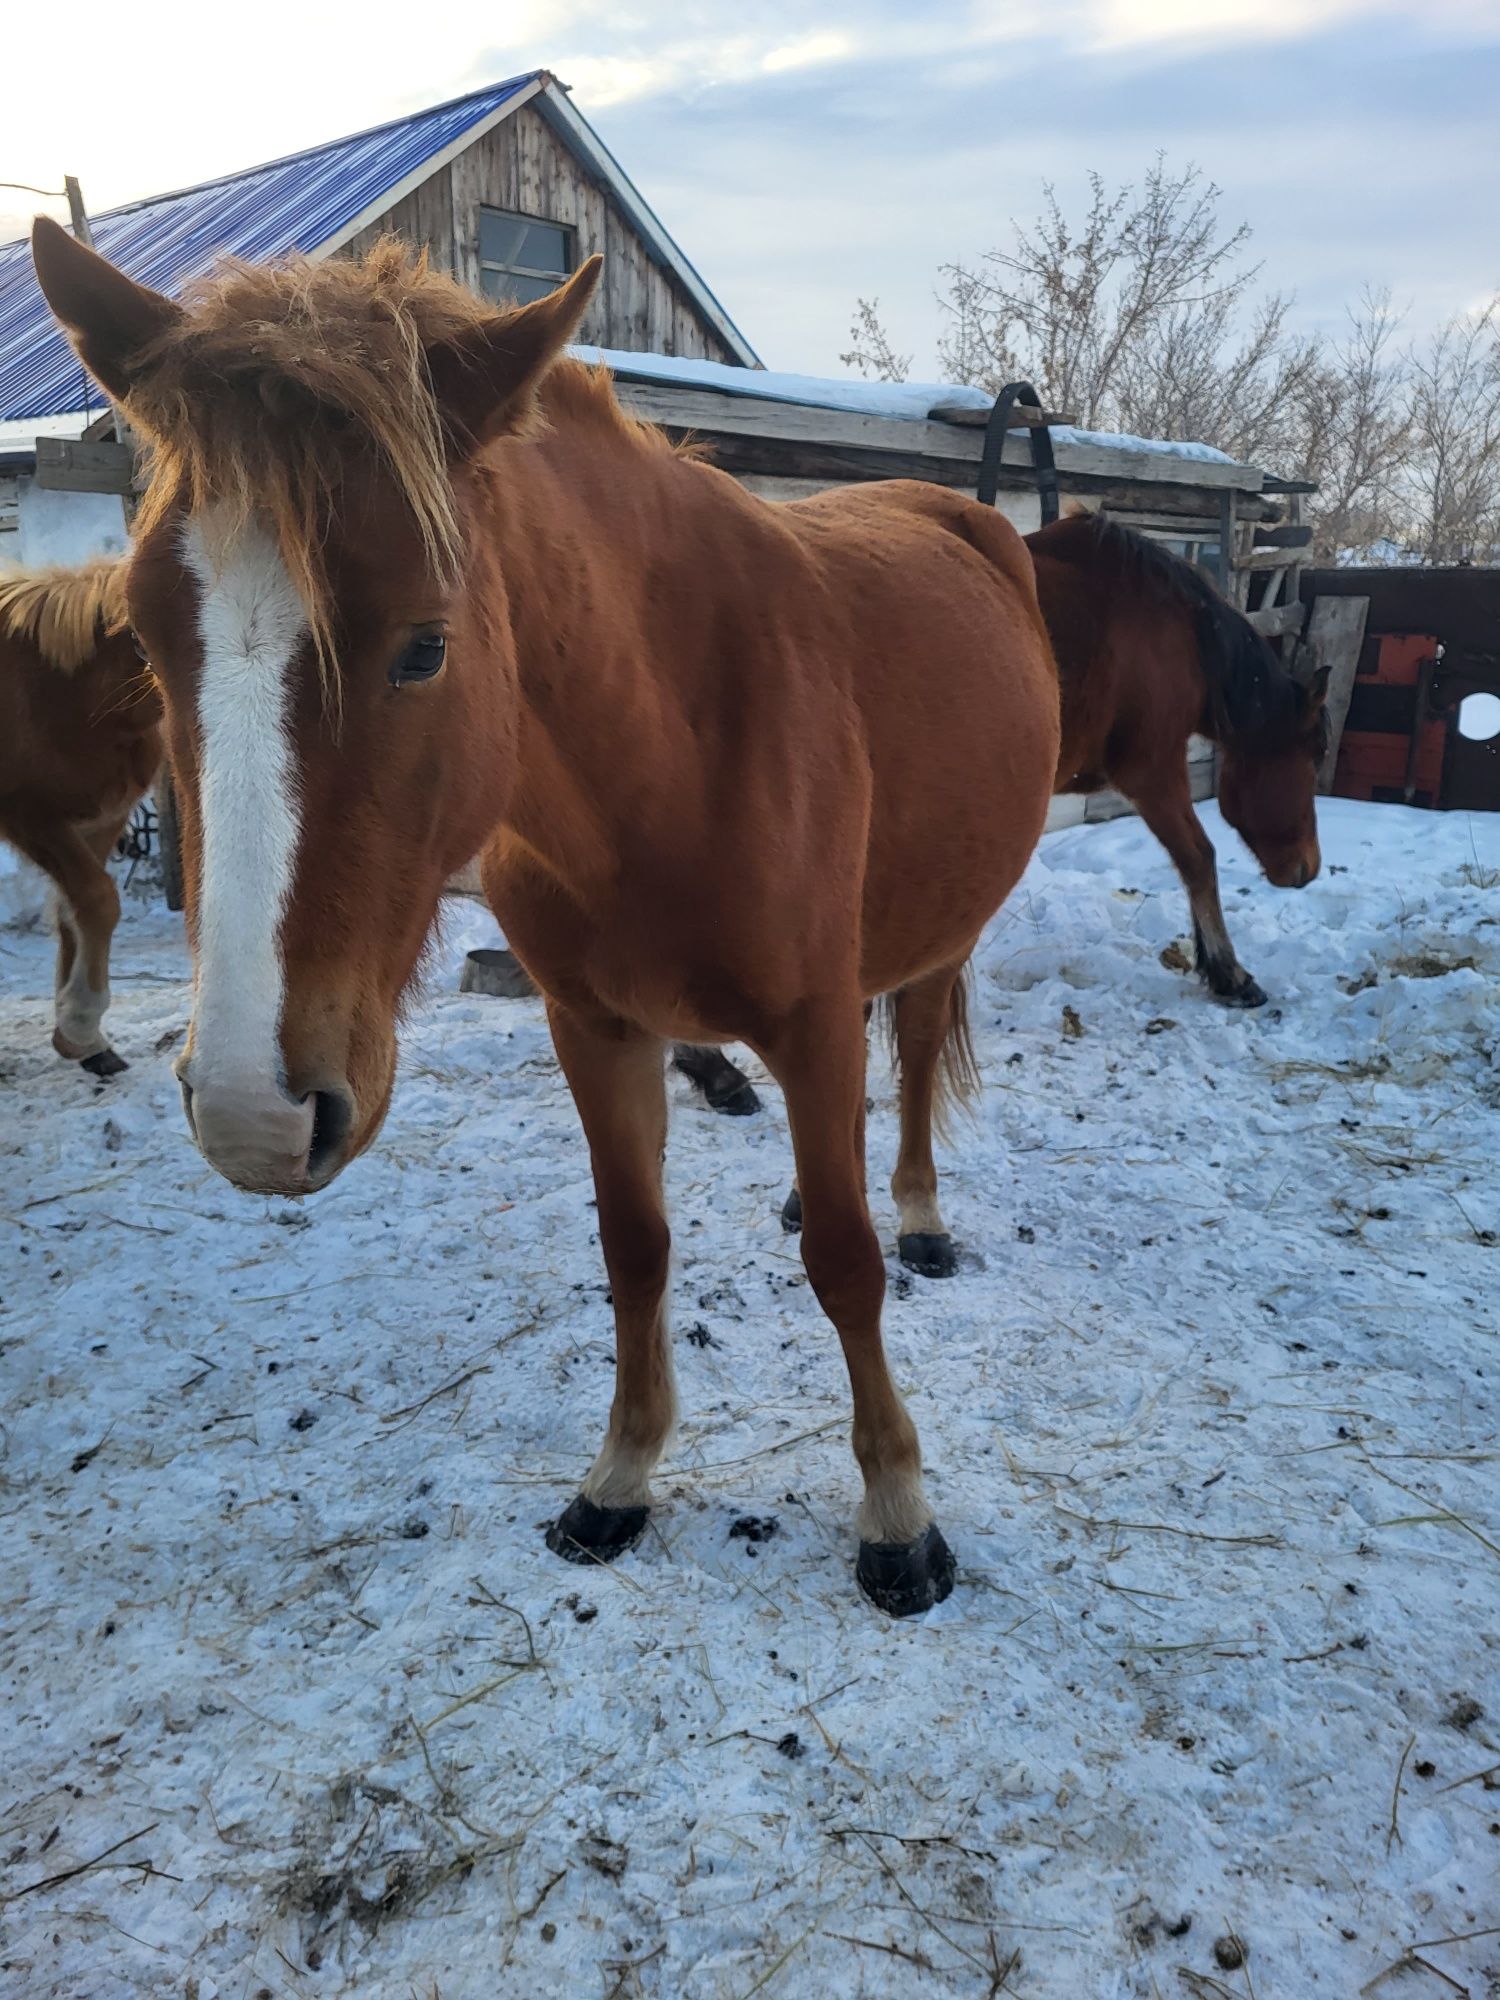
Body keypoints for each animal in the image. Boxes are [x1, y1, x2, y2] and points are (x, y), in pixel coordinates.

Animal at [0, 556, 163, 1072]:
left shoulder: (101, 819)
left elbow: (74, 913)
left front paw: (83, 1042)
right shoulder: (31, 817)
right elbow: (97, 899)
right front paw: (80, 1021)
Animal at [38, 223, 1072, 1624]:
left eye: (425, 648)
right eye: (147, 644)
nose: (256, 1114)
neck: (675, 743)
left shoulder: (805, 1026)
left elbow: (847, 1266)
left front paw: (899, 1513)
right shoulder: (594, 1027)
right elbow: (634, 1246)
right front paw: (621, 1475)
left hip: (940, 934)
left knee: (907, 1058)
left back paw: (916, 1209)